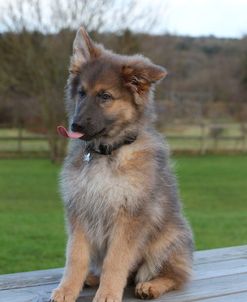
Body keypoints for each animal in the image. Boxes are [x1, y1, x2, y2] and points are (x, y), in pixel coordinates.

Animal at [50, 27, 193, 302]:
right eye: (81, 93)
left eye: (105, 96)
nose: (75, 125)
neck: (107, 152)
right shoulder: (80, 211)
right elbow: (75, 257)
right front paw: (67, 289)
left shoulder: (130, 216)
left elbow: (116, 261)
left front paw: (107, 293)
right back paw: (91, 278)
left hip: (166, 240)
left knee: (177, 276)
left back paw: (150, 286)